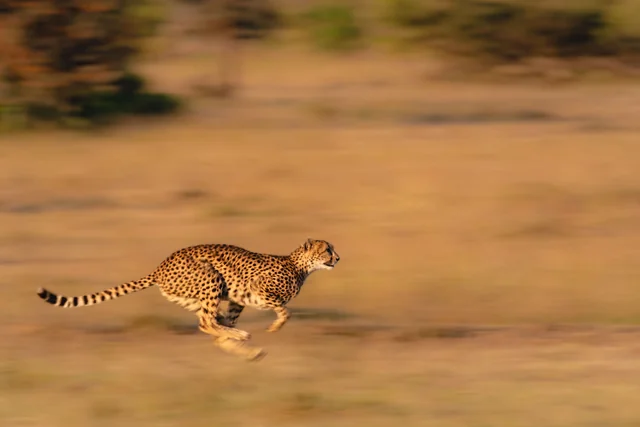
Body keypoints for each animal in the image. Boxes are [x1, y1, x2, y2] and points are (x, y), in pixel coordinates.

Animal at [36, 238, 340, 361]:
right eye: (327, 249)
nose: (338, 258)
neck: (299, 265)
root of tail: (160, 266)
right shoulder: (258, 290)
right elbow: (285, 311)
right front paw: (274, 327)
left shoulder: (238, 299)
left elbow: (228, 321)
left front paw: (239, 338)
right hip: (211, 277)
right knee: (206, 323)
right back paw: (241, 336)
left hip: (197, 295)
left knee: (208, 324)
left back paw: (243, 345)